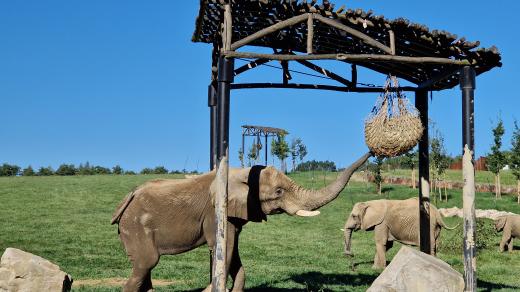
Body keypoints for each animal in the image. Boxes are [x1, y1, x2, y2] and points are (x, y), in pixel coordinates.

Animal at [111, 152, 372, 290]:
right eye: (278, 192)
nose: (373, 152)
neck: (240, 172)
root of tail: (126, 199)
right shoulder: (215, 213)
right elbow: (224, 250)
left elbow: (234, 254)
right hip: (135, 226)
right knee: (146, 263)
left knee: (144, 268)